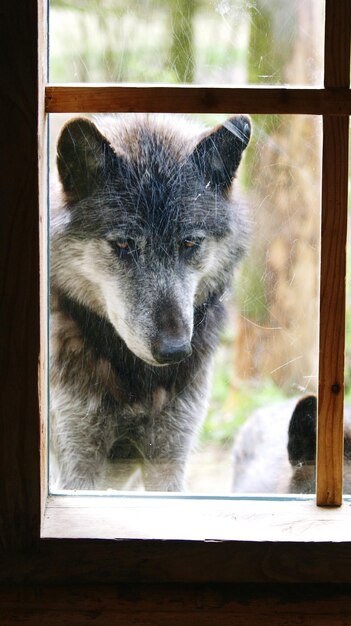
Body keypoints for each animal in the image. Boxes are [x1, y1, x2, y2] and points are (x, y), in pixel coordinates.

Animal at [51, 114, 252, 490]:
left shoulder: (169, 457)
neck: (136, 379)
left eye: (189, 242)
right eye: (124, 244)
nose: (174, 350)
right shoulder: (77, 464)